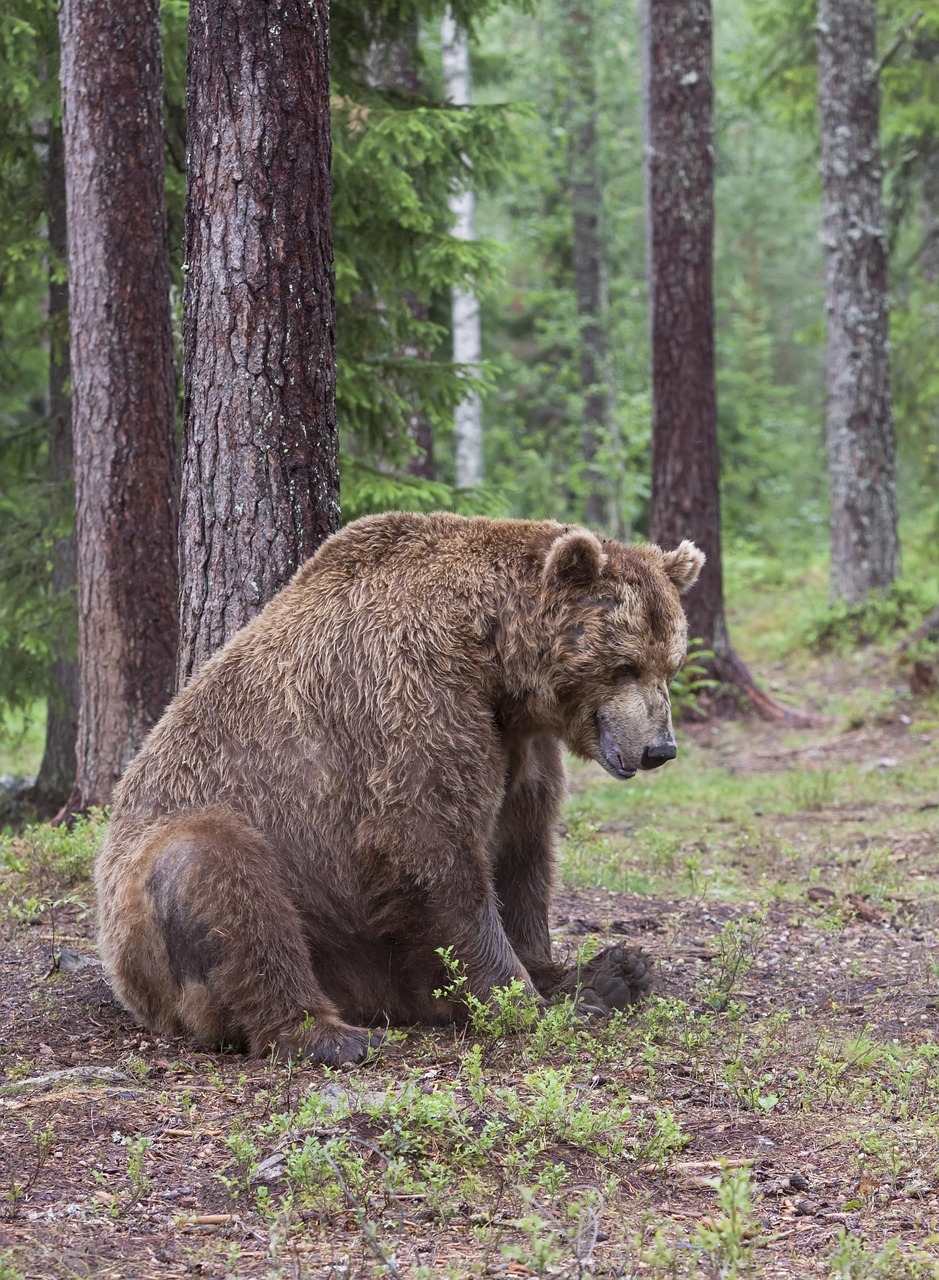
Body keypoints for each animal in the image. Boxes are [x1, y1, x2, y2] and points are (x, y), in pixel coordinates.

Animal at [94, 509, 706, 1059]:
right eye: (625, 664)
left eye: (670, 665)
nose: (660, 749)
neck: (493, 659)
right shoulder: (411, 695)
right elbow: (428, 844)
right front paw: (525, 1000)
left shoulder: (517, 743)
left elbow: (523, 848)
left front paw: (564, 974)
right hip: (184, 896)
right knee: (217, 875)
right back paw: (325, 1035)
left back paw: (614, 973)